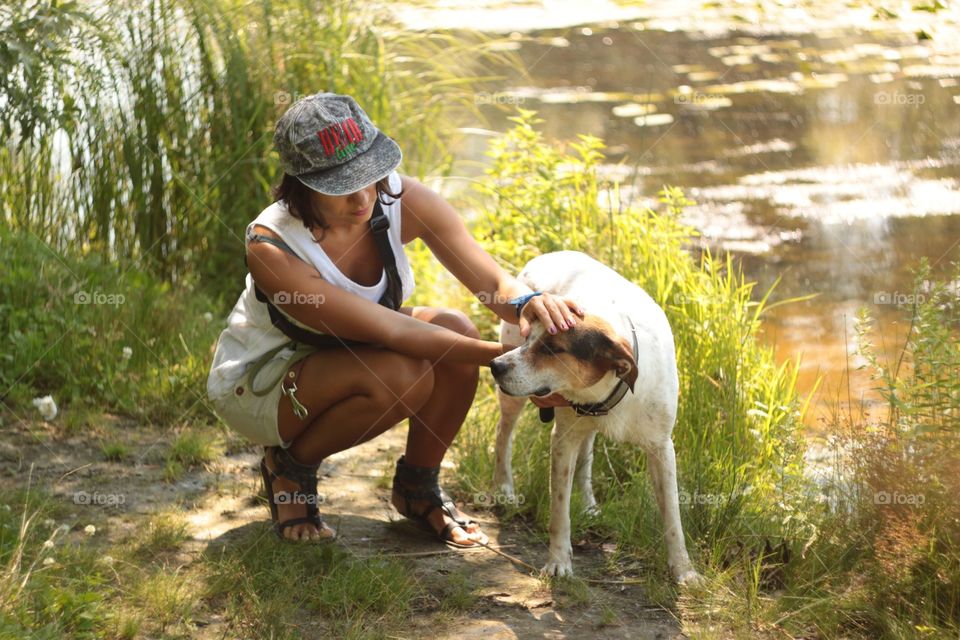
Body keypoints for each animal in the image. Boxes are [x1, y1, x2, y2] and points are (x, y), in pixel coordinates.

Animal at [492, 251, 700, 584]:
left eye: (552, 348)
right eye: (528, 339)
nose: (494, 365)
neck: (615, 382)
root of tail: (547, 255)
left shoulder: (661, 447)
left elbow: (672, 517)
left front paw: (684, 570)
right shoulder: (562, 439)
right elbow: (559, 511)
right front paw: (558, 562)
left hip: (585, 423)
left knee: (586, 452)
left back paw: (588, 504)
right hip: (515, 402)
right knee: (504, 434)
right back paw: (504, 488)